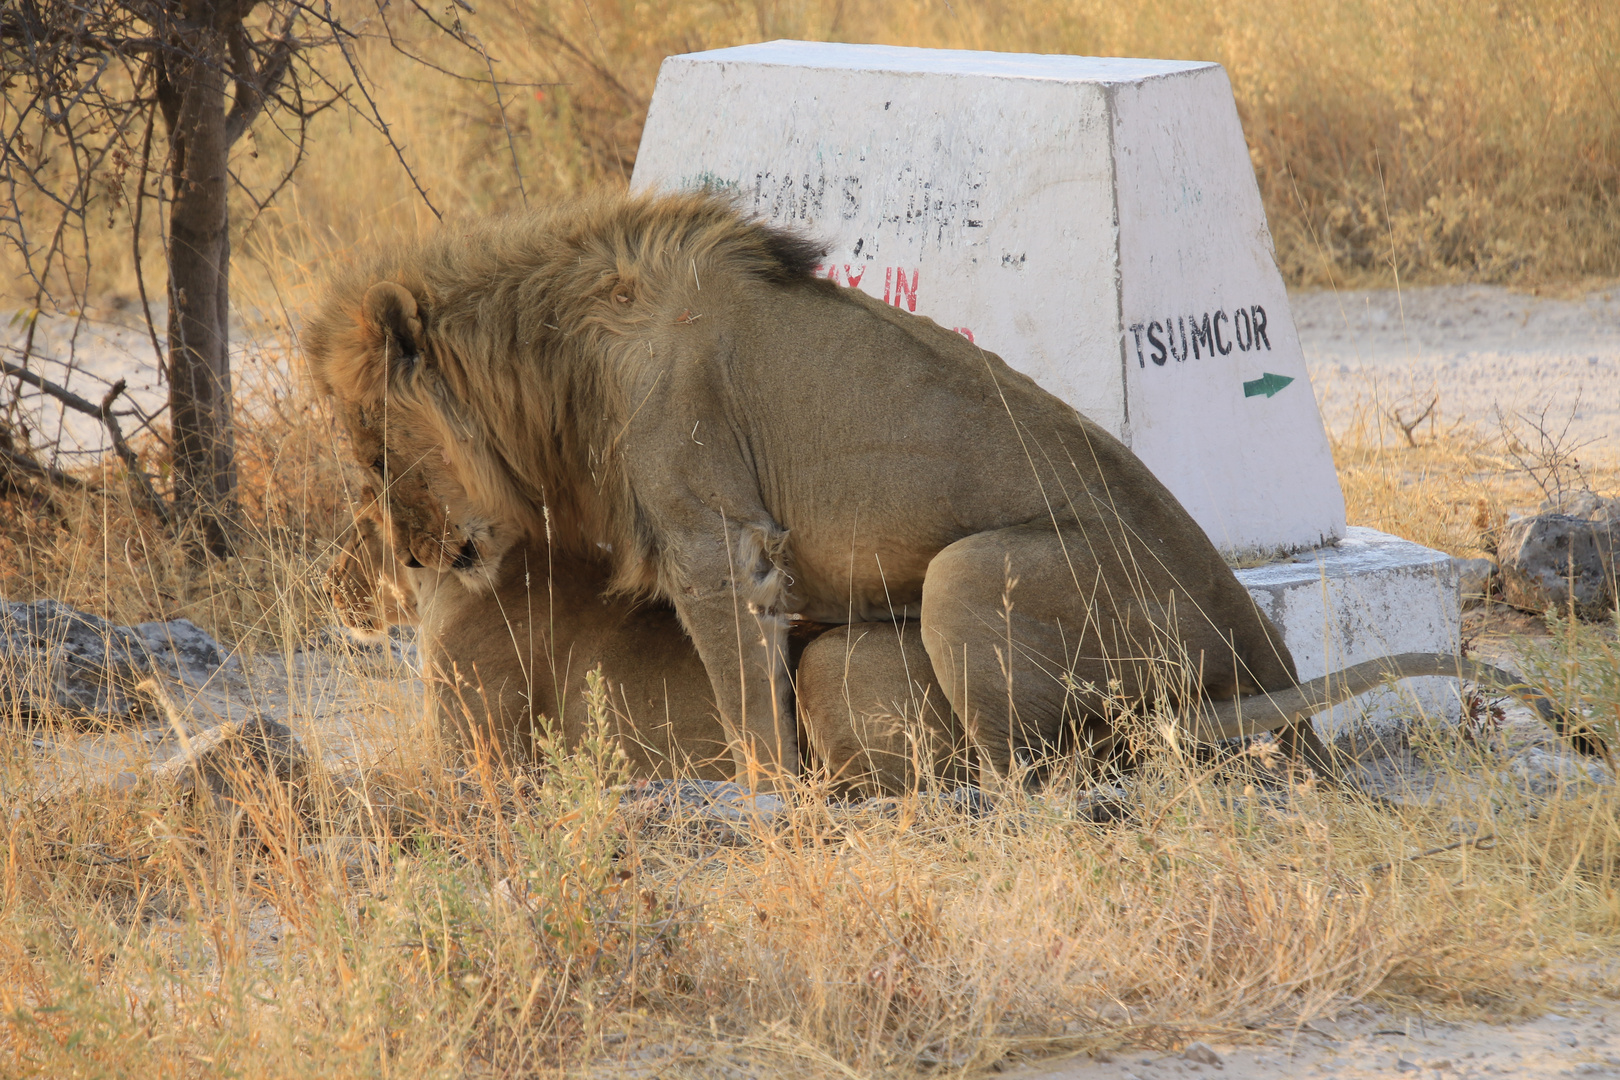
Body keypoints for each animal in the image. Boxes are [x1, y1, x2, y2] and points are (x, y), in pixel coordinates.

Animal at [306, 191, 1607, 786]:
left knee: (1045, 775)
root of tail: (1252, 666)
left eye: (370, 443)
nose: (411, 556)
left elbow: (748, 717)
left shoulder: (720, 546)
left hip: (969, 571)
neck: (557, 360)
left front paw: (773, 809)